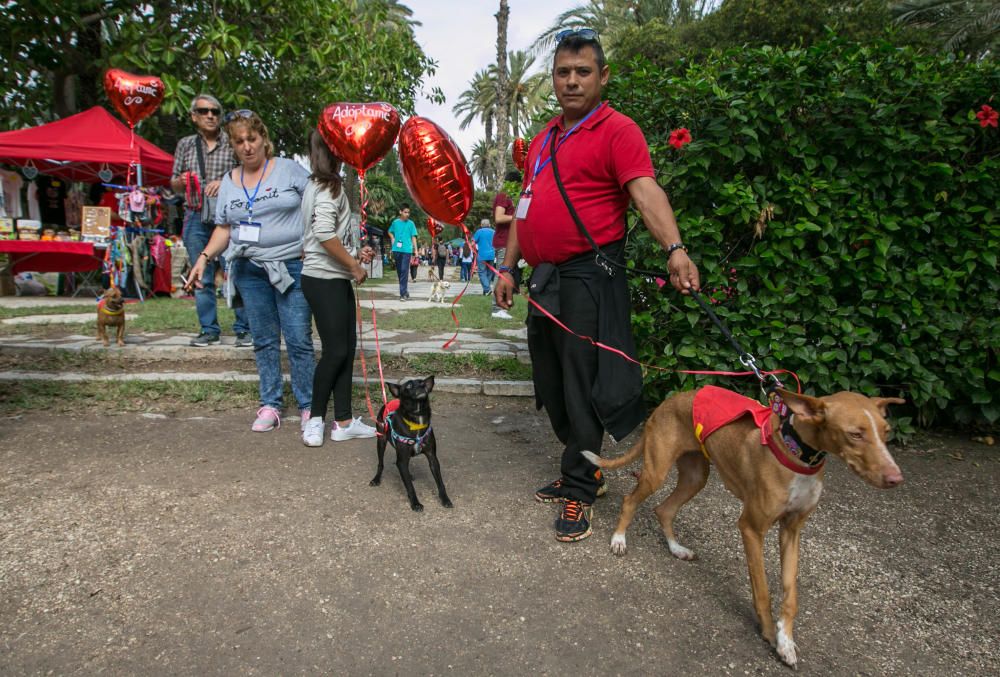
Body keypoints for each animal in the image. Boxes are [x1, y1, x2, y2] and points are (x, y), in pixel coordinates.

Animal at [368, 374, 454, 512]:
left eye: (422, 382)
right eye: (408, 385)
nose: (422, 386)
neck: (417, 418)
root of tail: (388, 401)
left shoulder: (432, 458)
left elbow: (440, 482)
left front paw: (445, 499)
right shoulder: (402, 460)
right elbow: (409, 485)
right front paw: (415, 503)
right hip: (381, 441)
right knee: (380, 463)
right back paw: (376, 479)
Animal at [584, 386, 904, 664]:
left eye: (886, 432)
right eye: (855, 434)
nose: (896, 479)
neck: (796, 454)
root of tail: (667, 403)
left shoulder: (792, 531)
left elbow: (791, 594)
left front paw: (786, 640)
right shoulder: (751, 528)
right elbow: (762, 590)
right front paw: (769, 635)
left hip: (695, 476)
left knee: (663, 510)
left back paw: (676, 549)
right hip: (656, 472)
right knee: (630, 500)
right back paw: (619, 540)